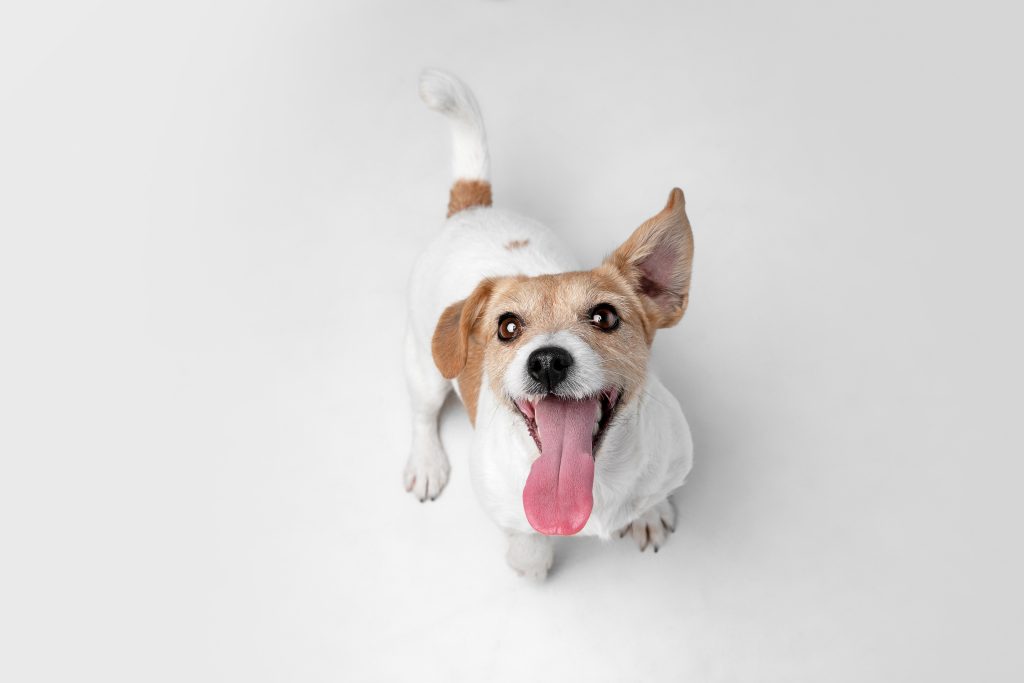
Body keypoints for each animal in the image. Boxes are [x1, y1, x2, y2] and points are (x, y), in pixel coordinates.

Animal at [403, 70, 692, 581]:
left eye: (605, 316)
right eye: (507, 328)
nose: (548, 361)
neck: (589, 483)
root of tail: (472, 209)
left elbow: (654, 494)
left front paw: (650, 513)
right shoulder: (506, 510)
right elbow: (527, 540)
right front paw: (531, 565)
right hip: (426, 368)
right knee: (422, 413)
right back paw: (426, 462)